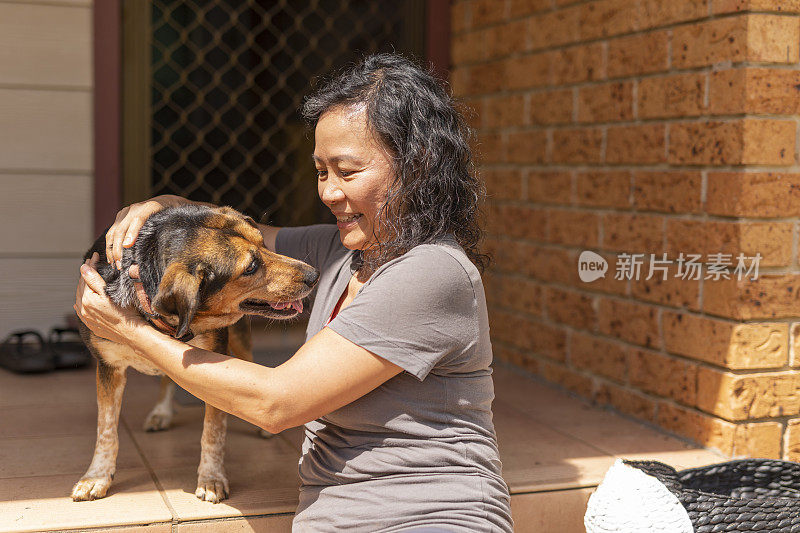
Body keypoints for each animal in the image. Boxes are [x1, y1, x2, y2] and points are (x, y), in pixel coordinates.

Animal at [71, 204, 316, 502]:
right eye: (251, 267)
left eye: (263, 242)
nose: (314, 275)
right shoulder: (108, 365)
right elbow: (106, 429)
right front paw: (97, 476)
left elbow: (213, 431)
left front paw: (211, 478)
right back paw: (162, 412)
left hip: (239, 340)